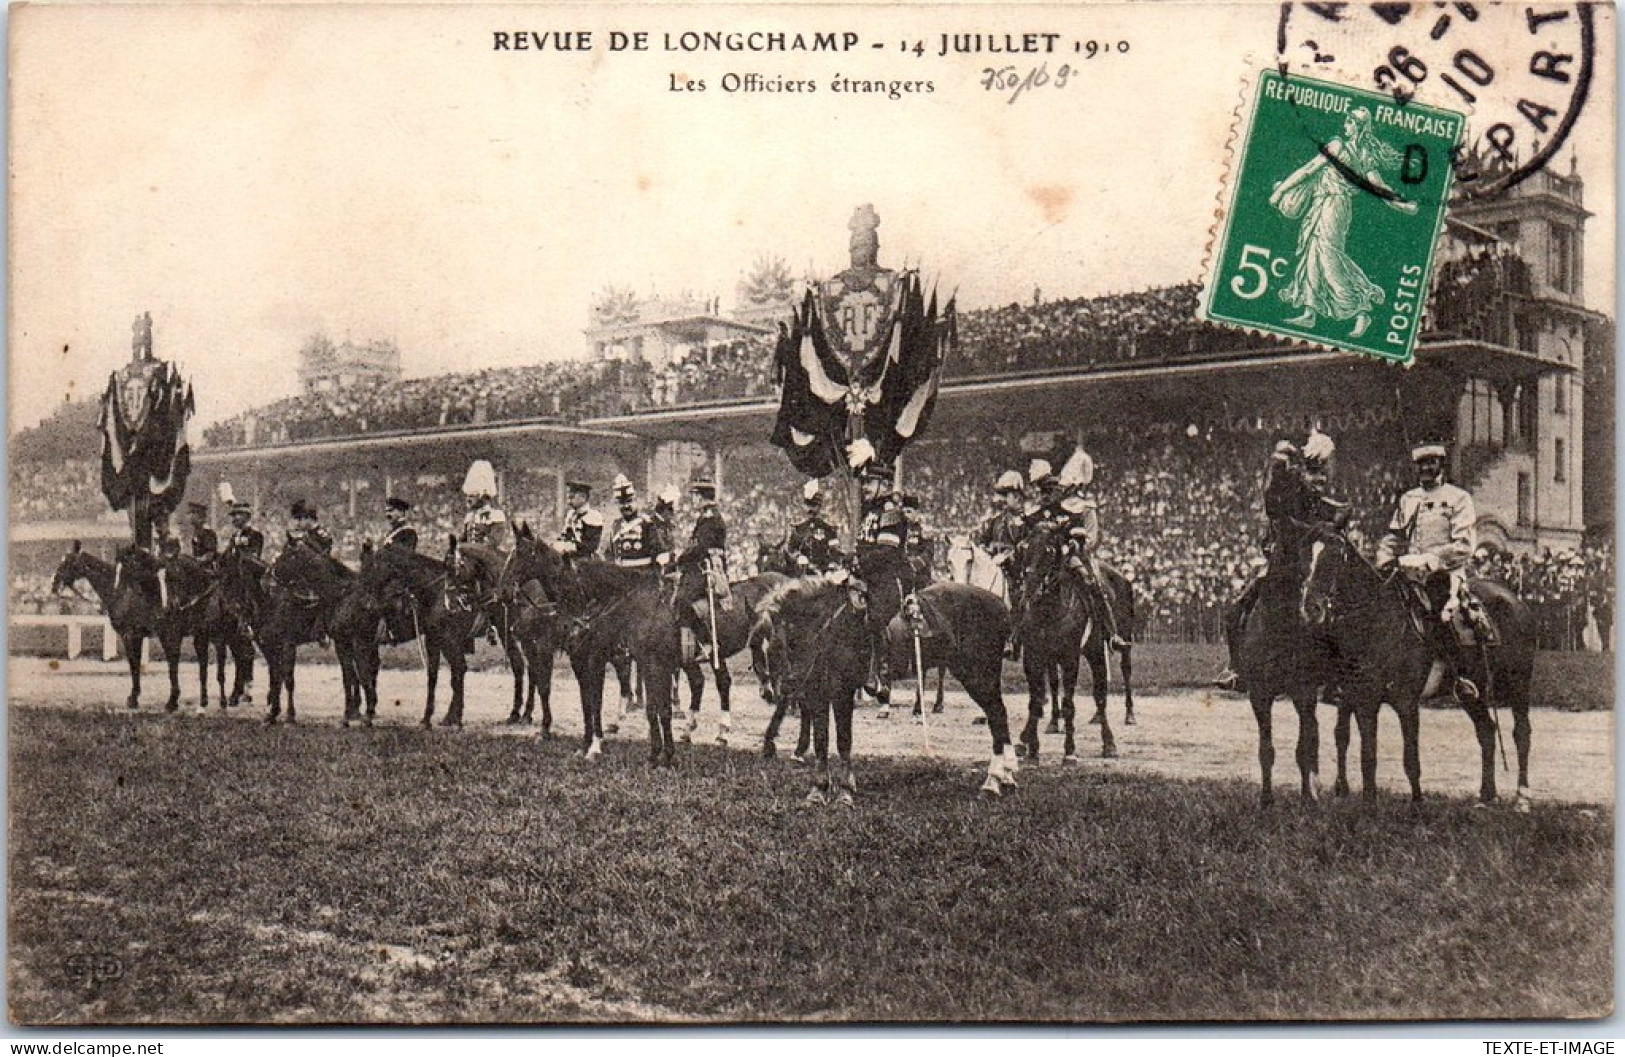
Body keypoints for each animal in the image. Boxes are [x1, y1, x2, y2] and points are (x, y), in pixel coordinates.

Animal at [510, 530, 682, 761]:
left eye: (522, 555)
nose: (507, 589)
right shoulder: (574, 658)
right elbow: (583, 701)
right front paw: (584, 742)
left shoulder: (591, 659)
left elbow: (594, 699)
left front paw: (594, 745)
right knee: (629, 687)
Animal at [760, 575, 1014, 800]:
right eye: (771, 647)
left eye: (789, 640)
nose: (788, 684)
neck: (832, 631)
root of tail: (1001, 605)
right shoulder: (817, 692)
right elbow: (821, 741)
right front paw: (818, 790)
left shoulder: (842, 691)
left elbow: (843, 740)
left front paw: (844, 791)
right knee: (999, 716)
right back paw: (1006, 776)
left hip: (978, 676)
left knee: (997, 715)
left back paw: (992, 782)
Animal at [1007, 523, 1137, 761]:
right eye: (1023, 548)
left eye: (1049, 550)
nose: (1028, 591)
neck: (1049, 610)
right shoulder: (1034, 656)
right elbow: (1036, 700)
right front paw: (1031, 747)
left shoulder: (1069, 658)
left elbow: (1068, 704)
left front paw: (1069, 752)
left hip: (1104, 649)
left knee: (1105, 690)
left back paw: (1113, 738)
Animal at [1293, 523, 1534, 803]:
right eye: (1303, 555)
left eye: (1333, 557)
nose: (1311, 609)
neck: (1376, 621)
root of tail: (1515, 600)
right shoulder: (1359, 697)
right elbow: (1361, 751)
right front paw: (1360, 799)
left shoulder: (1405, 701)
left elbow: (1410, 760)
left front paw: (1417, 803)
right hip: (1474, 693)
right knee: (1486, 731)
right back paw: (1486, 795)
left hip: (1518, 684)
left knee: (1522, 734)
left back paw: (1522, 797)